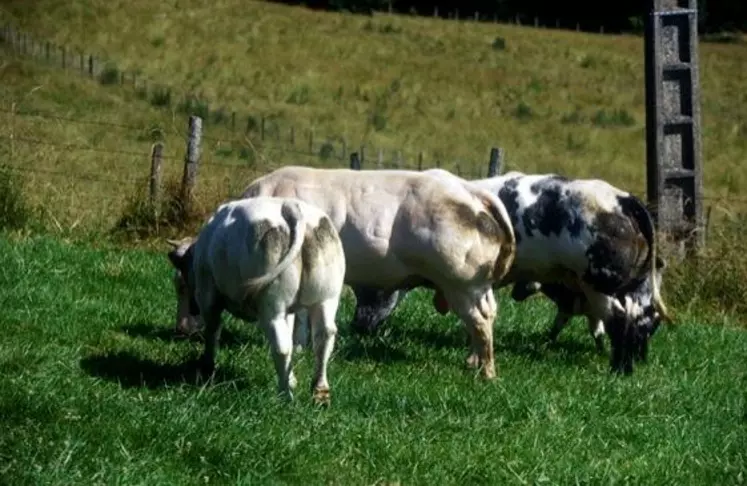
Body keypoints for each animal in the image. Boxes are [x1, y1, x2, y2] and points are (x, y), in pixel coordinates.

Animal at [165, 196, 346, 404]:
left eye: (181, 285)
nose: (182, 327)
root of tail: (289, 207)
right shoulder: (288, 311)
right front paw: (292, 379)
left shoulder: (207, 296)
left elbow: (212, 331)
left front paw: (207, 369)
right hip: (327, 297)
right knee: (323, 337)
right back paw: (319, 391)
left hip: (271, 307)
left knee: (282, 347)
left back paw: (285, 394)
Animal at [240, 165, 516, 378]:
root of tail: (469, 191)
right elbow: (301, 315)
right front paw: (299, 347)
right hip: (479, 286)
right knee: (489, 314)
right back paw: (474, 362)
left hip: (460, 283)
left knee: (479, 321)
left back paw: (487, 373)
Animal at [350, 169, 672, 374]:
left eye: (372, 286)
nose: (358, 325)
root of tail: (623, 199)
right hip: (633, 287)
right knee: (641, 318)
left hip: (599, 283)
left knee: (620, 320)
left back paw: (618, 368)